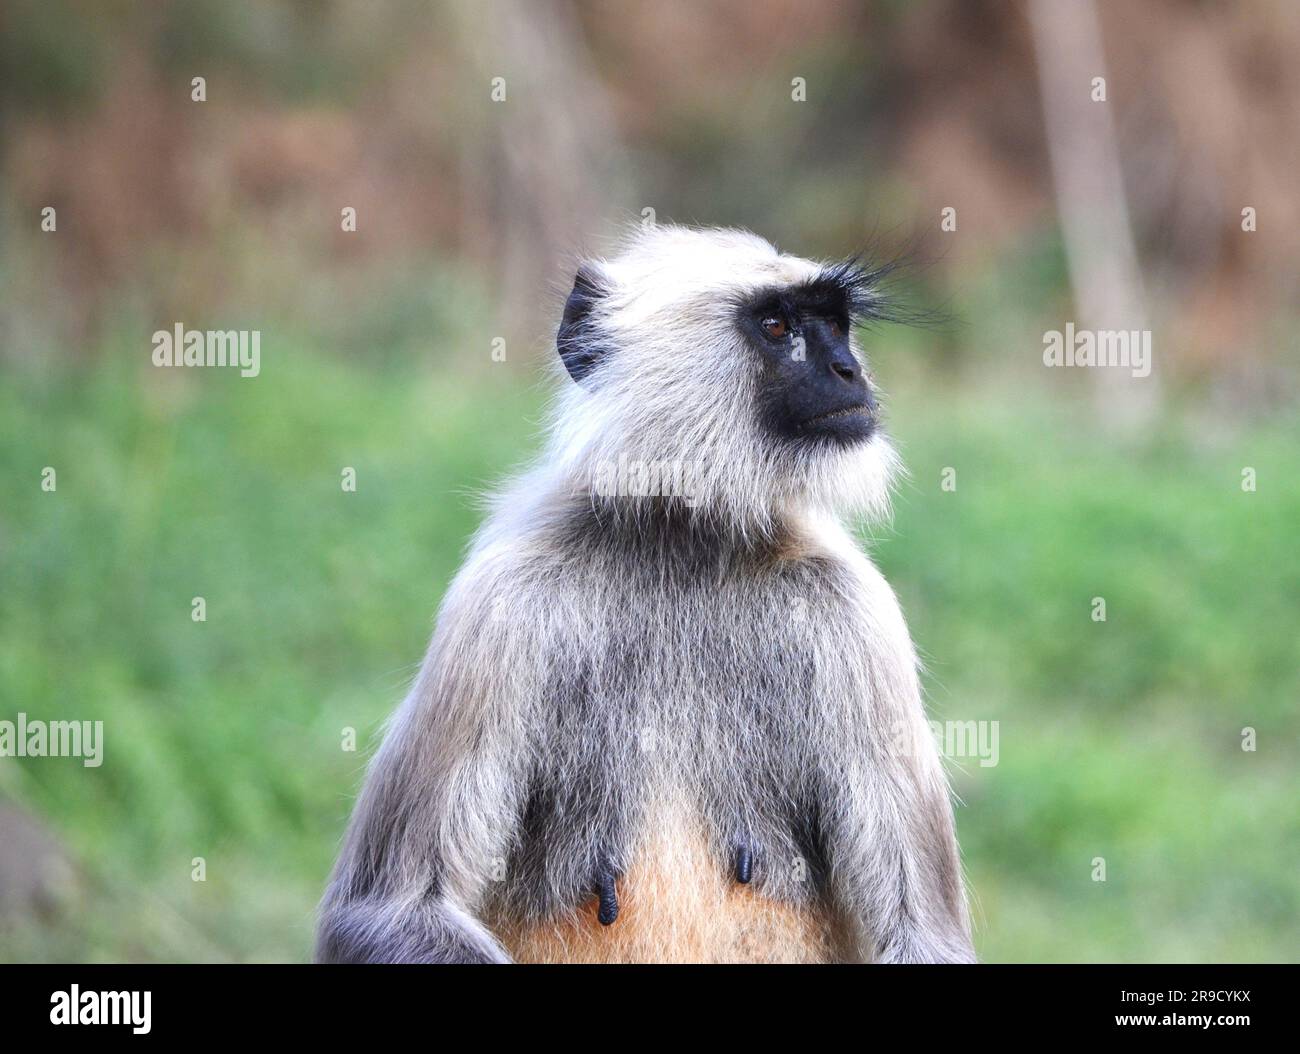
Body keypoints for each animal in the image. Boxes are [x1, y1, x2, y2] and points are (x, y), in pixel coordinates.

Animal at [314, 226, 977, 966]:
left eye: (836, 326)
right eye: (778, 327)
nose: (848, 372)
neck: (684, 542)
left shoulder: (856, 610)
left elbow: (919, 932)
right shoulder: (498, 602)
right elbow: (388, 909)